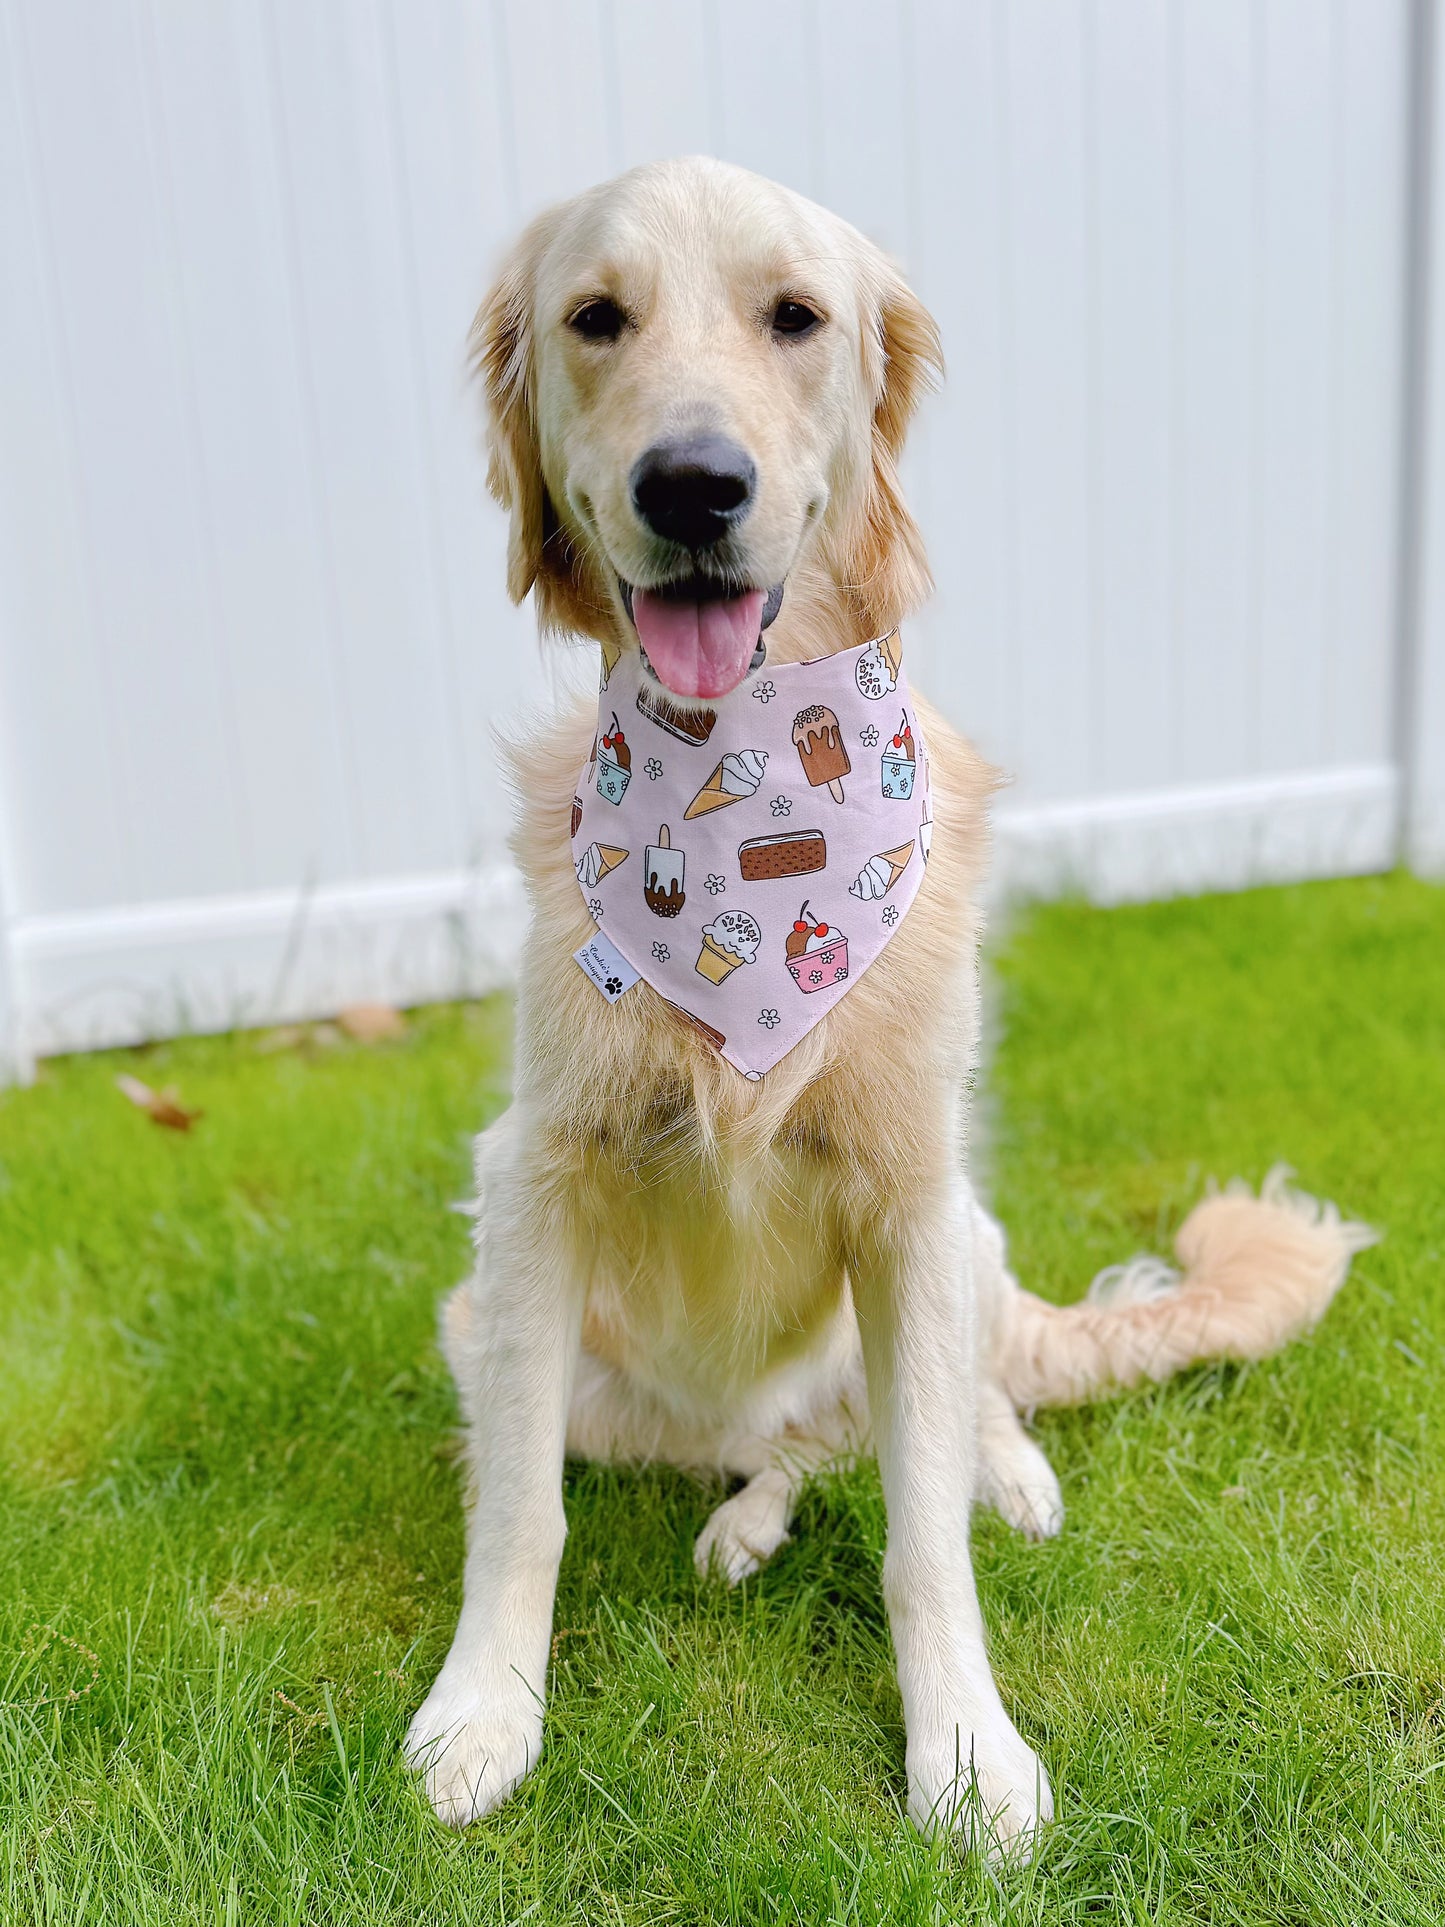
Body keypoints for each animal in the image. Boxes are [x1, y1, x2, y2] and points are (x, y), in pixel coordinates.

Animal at [402, 161, 1371, 1849]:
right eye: (596, 317)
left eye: (795, 316)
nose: (693, 486)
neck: (744, 791)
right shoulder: (531, 1180)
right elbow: (519, 1508)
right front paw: (485, 1712)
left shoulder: (911, 1195)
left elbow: (924, 1534)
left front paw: (966, 1750)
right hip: (517, 1332)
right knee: (786, 1449)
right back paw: (740, 1522)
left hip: (963, 1238)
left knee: (941, 1407)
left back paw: (1009, 1474)